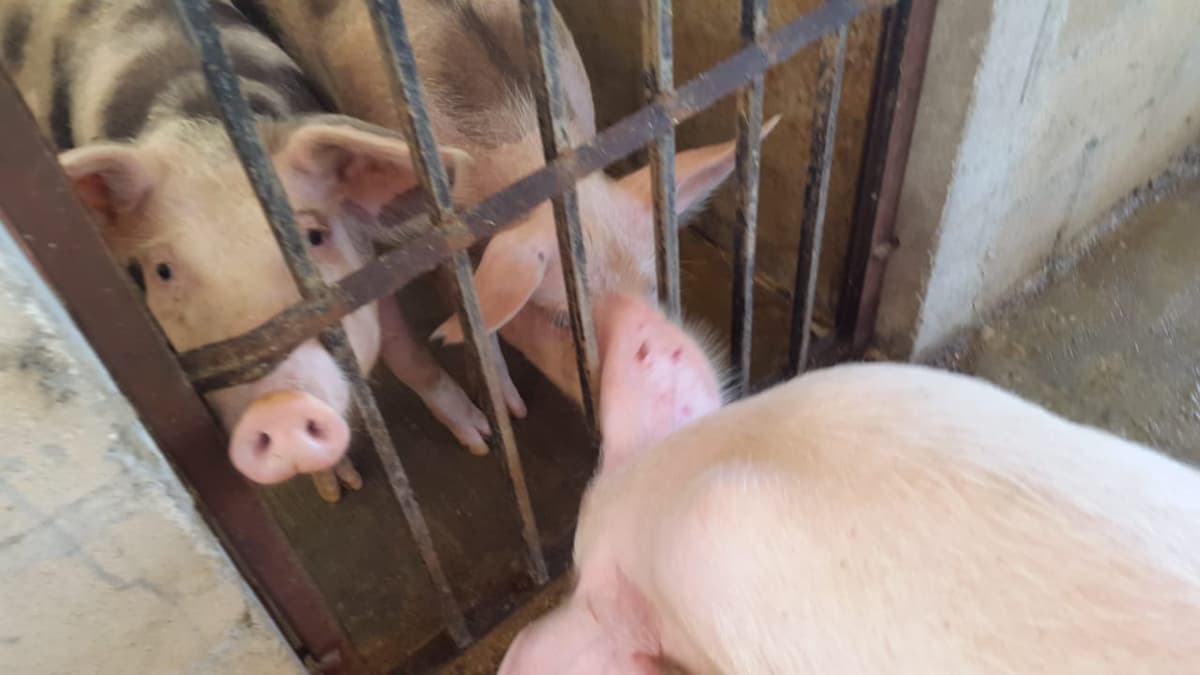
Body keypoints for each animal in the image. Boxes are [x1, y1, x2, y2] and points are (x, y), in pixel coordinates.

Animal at [0, 0, 504, 501]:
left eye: (313, 238)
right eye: (163, 270)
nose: (277, 408)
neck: (207, 133)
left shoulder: (365, 275)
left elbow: (408, 355)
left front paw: (481, 438)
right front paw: (335, 491)